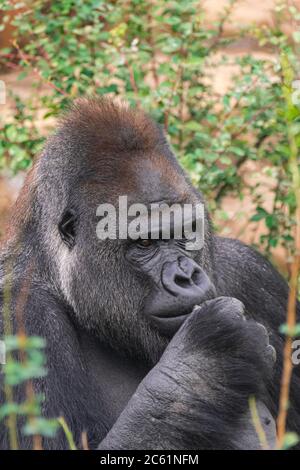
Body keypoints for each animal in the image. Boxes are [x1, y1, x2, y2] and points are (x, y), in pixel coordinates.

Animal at [0, 96, 298, 452]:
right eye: (144, 242)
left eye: (187, 231)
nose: (186, 277)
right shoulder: (19, 314)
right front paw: (205, 364)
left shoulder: (253, 273)